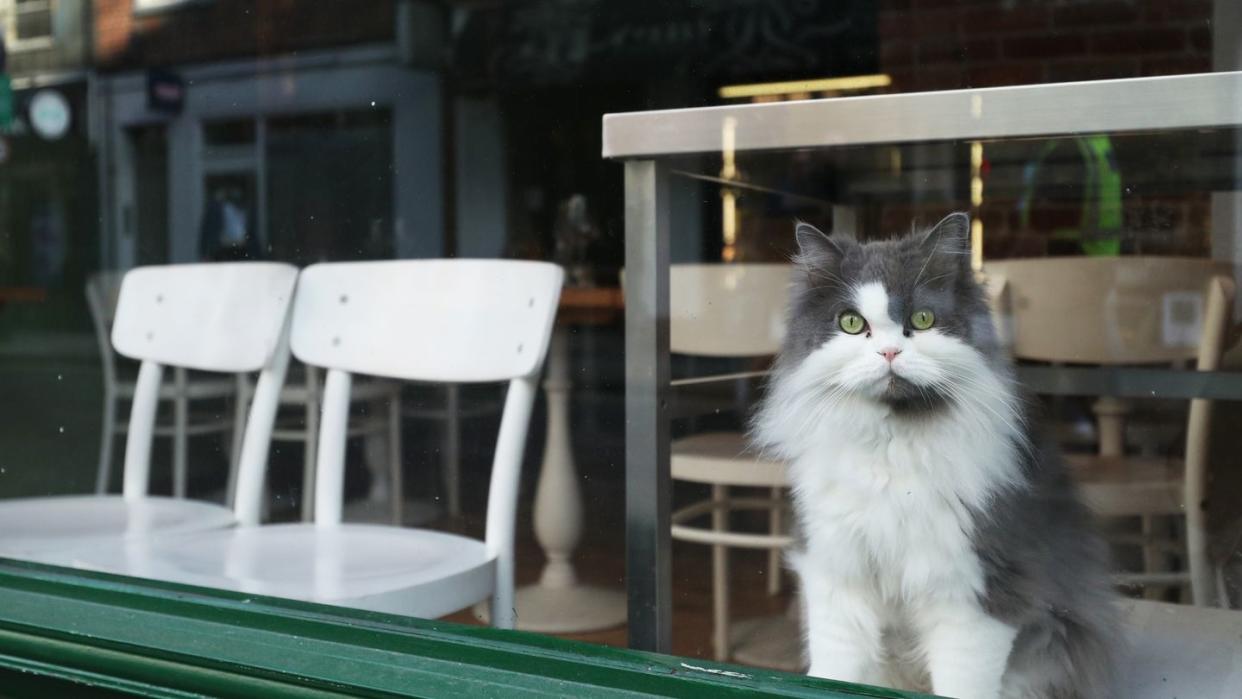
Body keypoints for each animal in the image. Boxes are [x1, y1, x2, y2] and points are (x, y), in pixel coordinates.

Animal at [750, 214, 1122, 699]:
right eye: (851, 323)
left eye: (922, 319)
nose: (889, 352)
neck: (892, 447)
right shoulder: (837, 574)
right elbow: (833, 671)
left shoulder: (971, 595)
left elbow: (961, 682)